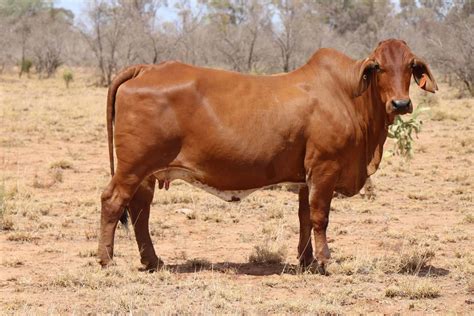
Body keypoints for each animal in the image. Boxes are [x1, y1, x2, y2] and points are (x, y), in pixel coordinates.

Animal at [97, 39, 436, 272]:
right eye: (378, 66)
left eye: (410, 66)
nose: (401, 104)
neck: (348, 96)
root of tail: (147, 68)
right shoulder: (324, 169)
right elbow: (320, 217)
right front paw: (325, 260)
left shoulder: (306, 178)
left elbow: (304, 218)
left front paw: (306, 260)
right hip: (132, 167)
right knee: (113, 202)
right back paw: (107, 260)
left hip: (147, 173)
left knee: (140, 212)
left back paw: (152, 261)